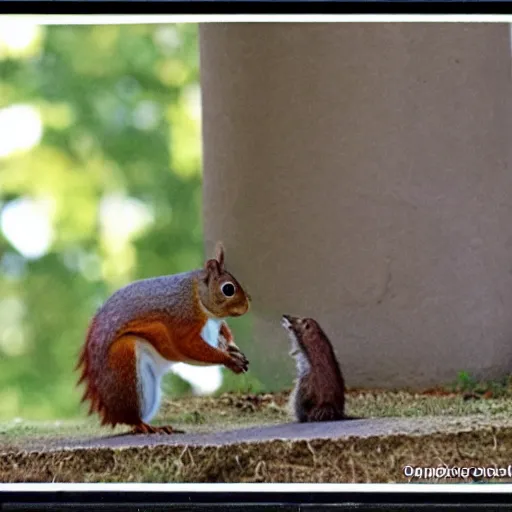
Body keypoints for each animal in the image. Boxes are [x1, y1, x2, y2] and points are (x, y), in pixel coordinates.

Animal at [76, 242, 250, 434]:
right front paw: (229, 359)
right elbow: (189, 347)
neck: (197, 296)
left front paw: (234, 349)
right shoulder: (183, 321)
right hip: (125, 362)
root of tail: (113, 413)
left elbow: (224, 333)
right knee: (133, 417)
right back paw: (148, 426)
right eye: (228, 289)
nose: (247, 305)